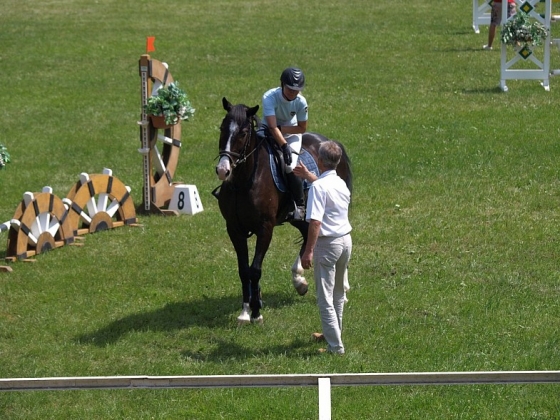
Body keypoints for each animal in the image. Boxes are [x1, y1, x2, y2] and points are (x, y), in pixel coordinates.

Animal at [217, 98, 352, 324]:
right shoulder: (234, 229)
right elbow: (244, 270)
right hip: (301, 216)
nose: (222, 170)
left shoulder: (265, 228)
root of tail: (330, 141)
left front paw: (256, 313)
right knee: (308, 236)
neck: (244, 181)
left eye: (243, 133)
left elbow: (255, 270)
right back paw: (299, 280)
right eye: (222, 128)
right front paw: (245, 311)